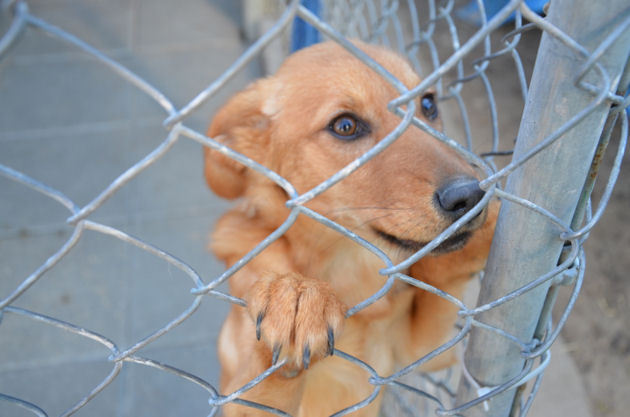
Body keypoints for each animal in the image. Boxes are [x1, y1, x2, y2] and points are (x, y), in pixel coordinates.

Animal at [205, 39, 502, 416]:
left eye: (428, 104)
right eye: (345, 126)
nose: (470, 195)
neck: (348, 268)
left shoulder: (422, 350)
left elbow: (442, 279)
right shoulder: (235, 397)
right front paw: (298, 296)